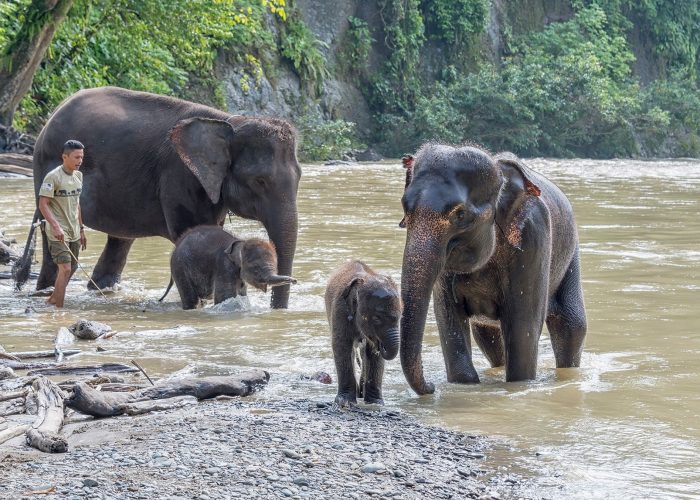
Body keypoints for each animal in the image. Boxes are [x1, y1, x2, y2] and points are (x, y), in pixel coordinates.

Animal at [158, 224, 296, 308]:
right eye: (256, 268)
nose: (295, 280)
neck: (241, 242)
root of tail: (175, 247)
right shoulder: (224, 266)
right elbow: (224, 297)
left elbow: (242, 294)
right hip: (179, 268)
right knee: (192, 300)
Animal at [326, 262, 402, 406]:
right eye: (377, 318)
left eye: (401, 316)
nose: (381, 345)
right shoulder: (340, 311)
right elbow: (342, 346)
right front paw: (345, 402)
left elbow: (372, 354)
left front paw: (376, 403)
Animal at [400, 144, 584, 394]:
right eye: (404, 208)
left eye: (460, 214)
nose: (431, 386)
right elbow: (449, 319)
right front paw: (464, 385)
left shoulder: (533, 238)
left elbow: (523, 328)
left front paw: (518, 386)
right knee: (487, 337)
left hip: (571, 256)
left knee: (571, 326)